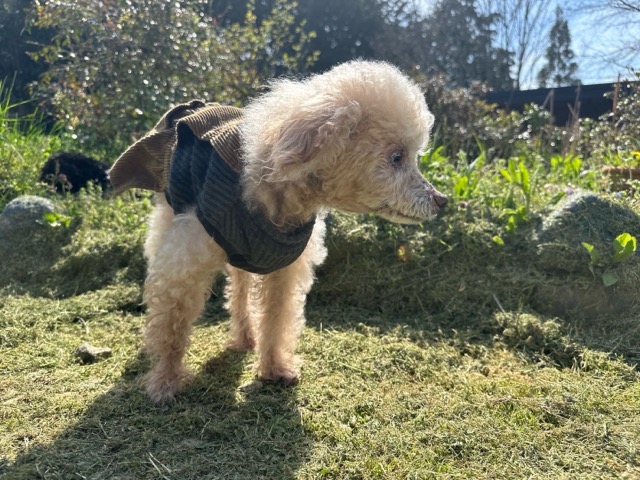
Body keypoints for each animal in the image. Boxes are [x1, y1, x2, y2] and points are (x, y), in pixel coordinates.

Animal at [109, 60, 448, 404]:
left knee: (240, 288)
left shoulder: (285, 271)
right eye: (396, 157)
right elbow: (173, 320)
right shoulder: (185, 264)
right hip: (171, 215)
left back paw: (245, 336)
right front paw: (165, 381)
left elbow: (276, 319)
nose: (441, 200)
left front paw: (274, 369)